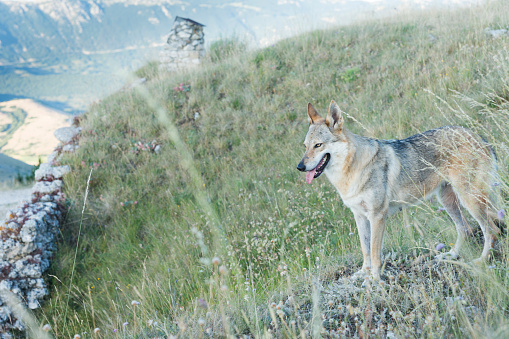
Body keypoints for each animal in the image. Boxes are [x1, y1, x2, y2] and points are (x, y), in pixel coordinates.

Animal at [296, 101, 502, 282]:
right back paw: (450, 256)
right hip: (448, 201)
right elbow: (365, 249)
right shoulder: (359, 216)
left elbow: (374, 253)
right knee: (466, 229)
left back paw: (481, 262)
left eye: (318, 145)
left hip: (469, 200)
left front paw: (374, 280)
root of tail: (479, 136)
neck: (351, 171)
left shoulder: (377, 215)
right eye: (305, 146)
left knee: (492, 231)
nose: (300, 167)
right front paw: (363, 273)